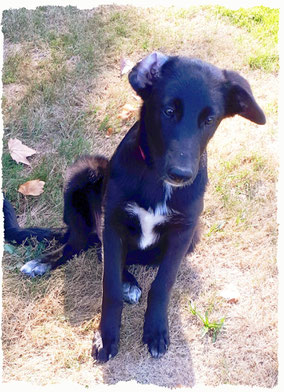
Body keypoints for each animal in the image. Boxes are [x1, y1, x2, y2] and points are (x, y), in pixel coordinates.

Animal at [5, 52, 266, 362]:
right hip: (83, 173)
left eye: (209, 119)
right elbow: (110, 286)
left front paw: (155, 331)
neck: (157, 180)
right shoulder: (113, 223)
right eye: (168, 111)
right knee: (80, 243)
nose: (181, 174)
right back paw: (46, 262)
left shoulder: (183, 232)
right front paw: (106, 337)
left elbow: (163, 284)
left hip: (194, 235)